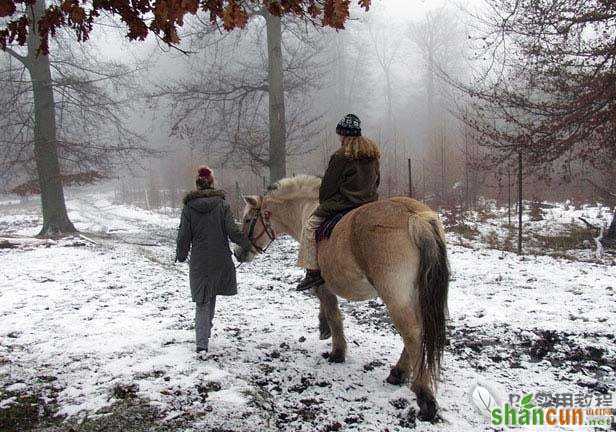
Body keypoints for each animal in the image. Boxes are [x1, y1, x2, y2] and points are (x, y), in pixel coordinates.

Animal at [233, 174, 450, 420]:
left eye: (248, 219)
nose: (238, 253)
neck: (308, 210)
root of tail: (414, 216)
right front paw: (324, 329)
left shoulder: (323, 286)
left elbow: (333, 314)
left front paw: (337, 351)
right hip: (415, 294)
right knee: (417, 332)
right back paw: (399, 372)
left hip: (396, 296)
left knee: (412, 334)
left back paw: (424, 396)